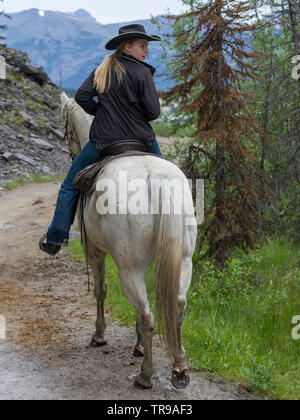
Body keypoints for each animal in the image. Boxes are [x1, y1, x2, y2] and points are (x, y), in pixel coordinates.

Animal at [60, 92, 197, 390]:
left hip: (129, 268)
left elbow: (101, 290)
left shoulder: (94, 250)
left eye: (65, 128)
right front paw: (139, 346)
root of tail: (156, 179)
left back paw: (145, 376)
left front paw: (99, 336)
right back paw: (179, 368)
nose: (71, 151)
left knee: (147, 315)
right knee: (178, 306)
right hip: (183, 260)